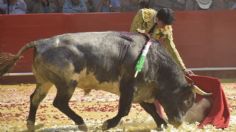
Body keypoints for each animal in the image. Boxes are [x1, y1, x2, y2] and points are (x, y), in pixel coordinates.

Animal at [1, 31, 199, 130]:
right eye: (187, 100)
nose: (178, 122)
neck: (154, 61)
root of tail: (41, 42)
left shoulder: (141, 91)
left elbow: (150, 108)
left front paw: (162, 124)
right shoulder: (128, 87)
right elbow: (124, 110)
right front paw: (107, 124)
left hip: (45, 82)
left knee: (35, 98)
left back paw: (31, 124)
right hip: (67, 83)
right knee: (59, 103)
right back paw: (81, 123)